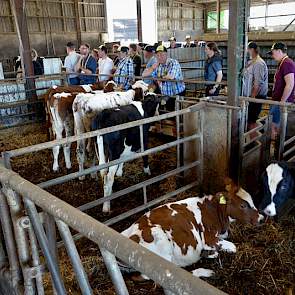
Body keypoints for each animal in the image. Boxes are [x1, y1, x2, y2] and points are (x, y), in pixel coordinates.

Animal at [120, 180, 264, 280]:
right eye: (243, 205)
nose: (262, 218)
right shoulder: (209, 238)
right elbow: (234, 247)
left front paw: (210, 252)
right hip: (159, 239)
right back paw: (205, 271)